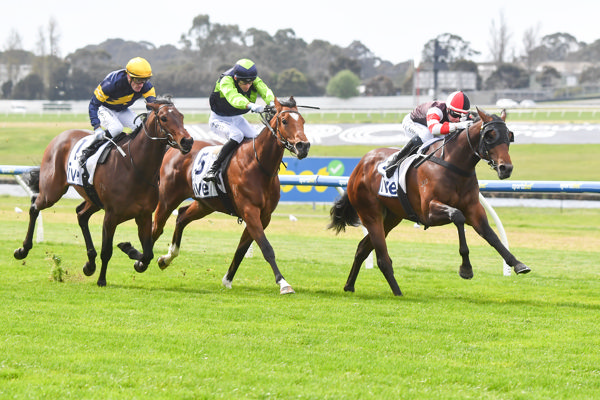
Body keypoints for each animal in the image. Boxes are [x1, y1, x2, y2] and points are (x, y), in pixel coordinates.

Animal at [13, 100, 195, 288]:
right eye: (164, 118)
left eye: (181, 116)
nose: (187, 141)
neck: (135, 167)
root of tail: (60, 136)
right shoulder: (111, 216)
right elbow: (107, 251)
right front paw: (102, 279)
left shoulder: (143, 215)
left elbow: (147, 254)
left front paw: (129, 249)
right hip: (52, 191)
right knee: (35, 207)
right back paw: (23, 249)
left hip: (92, 199)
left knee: (81, 215)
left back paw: (90, 264)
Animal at [150, 97, 312, 294]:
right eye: (284, 120)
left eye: (302, 121)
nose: (303, 146)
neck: (259, 165)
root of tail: (174, 147)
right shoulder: (250, 211)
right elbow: (266, 248)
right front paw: (283, 283)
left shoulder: (263, 216)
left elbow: (242, 249)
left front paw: (227, 280)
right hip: (168, 199)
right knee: (157, 226)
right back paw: (141, 259)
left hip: (205, 204)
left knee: (181, 216)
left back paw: (166, 258)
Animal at [328, 108, 528, 296]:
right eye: (490, 136)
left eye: (509, 136)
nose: (506, 168)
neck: (455, 166)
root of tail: (359, 166)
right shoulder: (429, 212)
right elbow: (458, 216)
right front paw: (466, 268)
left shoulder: (474, 209)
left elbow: (491, 235)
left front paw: (517, 264)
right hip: (370, 214)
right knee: (382, 258)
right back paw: (398, 293)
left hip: (392, 218)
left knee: (363, 248)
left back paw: (349, 286)